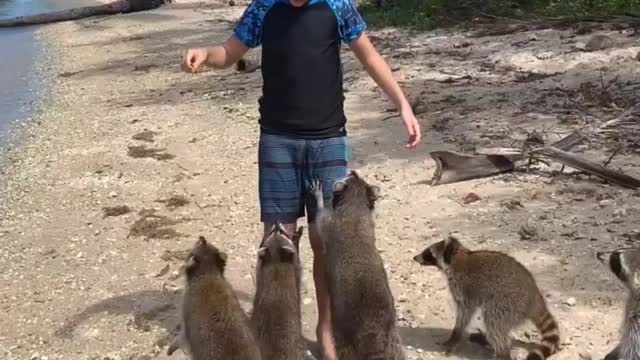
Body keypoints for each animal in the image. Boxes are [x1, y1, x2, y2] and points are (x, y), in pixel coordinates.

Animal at [308, 172, 404, 360]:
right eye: (356, 177)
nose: (353, 171)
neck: (356, 202)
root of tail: (372, 333)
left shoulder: (331, 222)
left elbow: (320, 218)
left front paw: (319, 199)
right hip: (392, 336)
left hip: (343, 336)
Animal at [416, 236, 560, 360]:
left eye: (428, 252)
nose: (415, 257)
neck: (457, 257)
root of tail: (534, 297)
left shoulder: (463, 287)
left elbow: (465, 313)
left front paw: (455, 336)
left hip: (508, 302)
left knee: (494, 322)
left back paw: (502, 353)